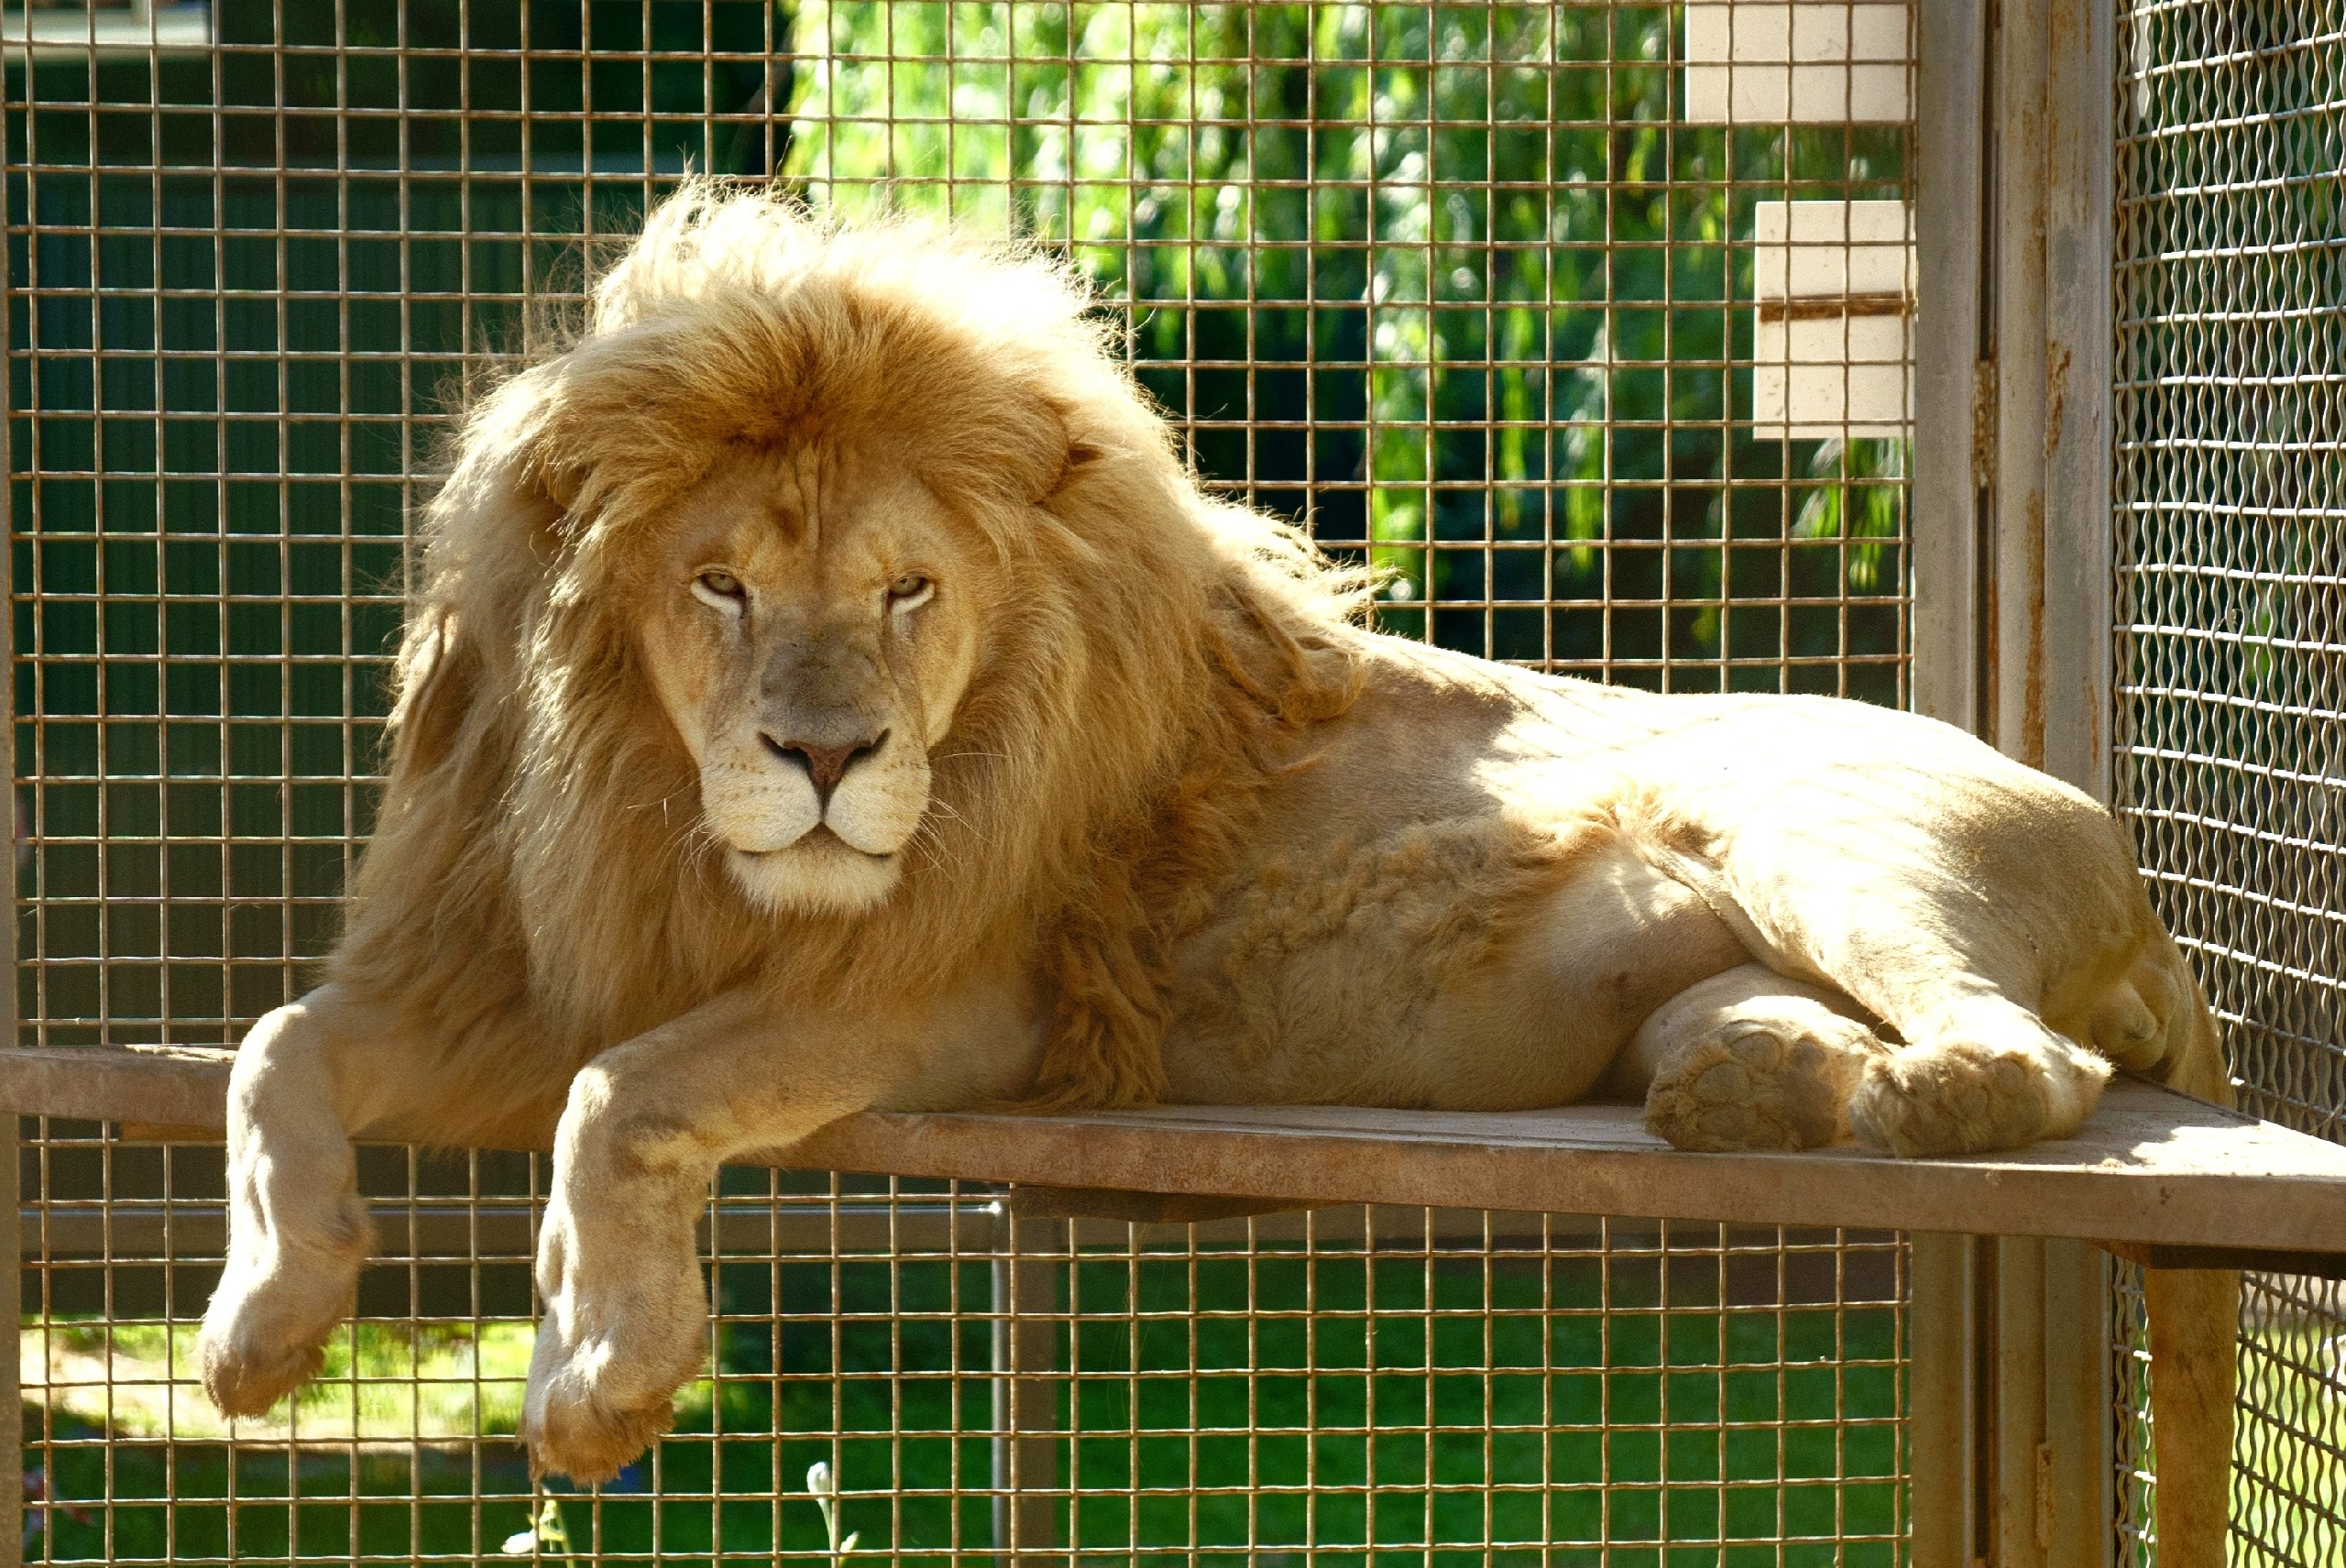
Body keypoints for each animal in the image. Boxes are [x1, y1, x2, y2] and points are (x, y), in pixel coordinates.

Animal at [195, 182, 2227, 1483]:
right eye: (719, 584)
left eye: (909, 588)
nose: (829, 754)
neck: (657, 805)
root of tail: (2126, 870)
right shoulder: (516, 969)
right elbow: (274, 1050)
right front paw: (260, 1327)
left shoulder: (959, 997)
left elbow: (619, 1098)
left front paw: (601, 1375)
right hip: (1705, 976)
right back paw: (1750, 1092)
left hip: (1813, 833)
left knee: (2026, 1067)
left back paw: (1905, 1103)